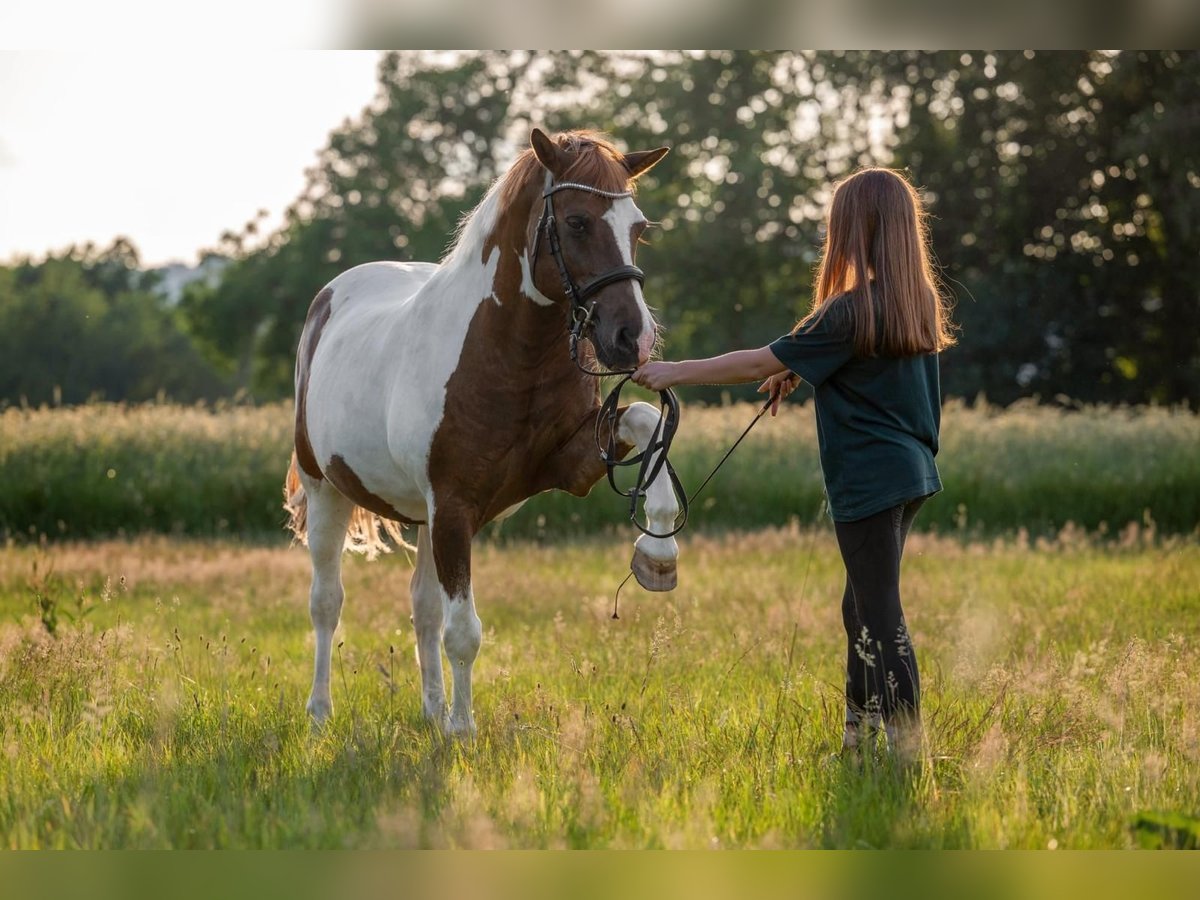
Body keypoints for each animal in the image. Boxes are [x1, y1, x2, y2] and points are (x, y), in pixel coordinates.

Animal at [278, 127, 676, 734]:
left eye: (639, 228)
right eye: (577, 221)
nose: (633, 337)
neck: (509, 355)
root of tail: (327, 301)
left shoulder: (570, 465)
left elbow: (646, 418)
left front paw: (658, 552)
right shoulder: (454, 507)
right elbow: (463, 632)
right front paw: (463, 733)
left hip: (422, 518)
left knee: (420, 608)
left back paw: (431, 711)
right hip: (330, 494)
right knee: (327, 601)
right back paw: (321, 712)